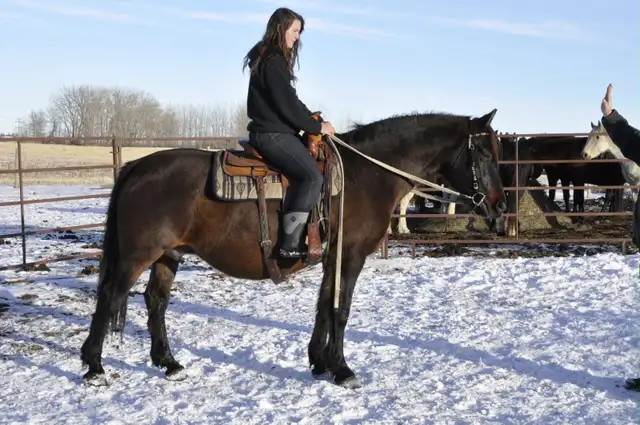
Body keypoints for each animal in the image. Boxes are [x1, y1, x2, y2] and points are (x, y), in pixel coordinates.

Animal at [79, 109, 507, 389]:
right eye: (484, 153)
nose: (500, 208)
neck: (367, 175)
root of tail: (137, 167)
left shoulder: (332, 258)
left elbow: (323, 307)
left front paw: (319, 362)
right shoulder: (350, 256)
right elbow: (340, 309)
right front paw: (342, 370)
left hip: (169, 254)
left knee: (156, 300)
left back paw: (168, 363)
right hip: (137, 255)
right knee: (110, 296)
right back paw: (94, 367)